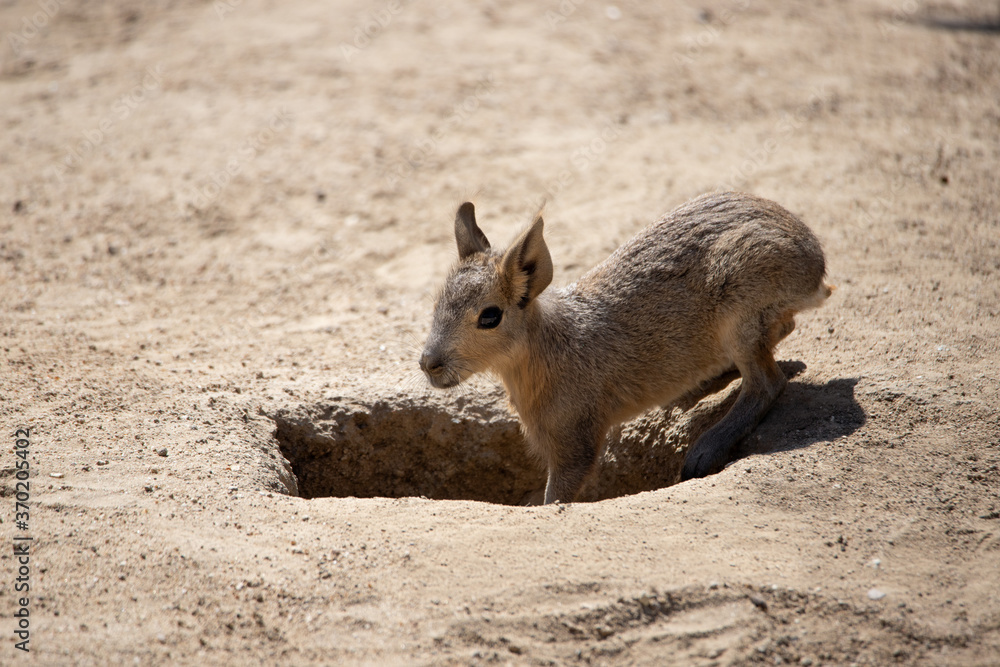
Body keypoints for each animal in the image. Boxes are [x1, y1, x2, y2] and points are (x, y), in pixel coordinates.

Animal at [420, 191, 832, 504]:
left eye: (490, 316)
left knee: (768, 382)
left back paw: (703, 451)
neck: (548, 352)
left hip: (739, 312)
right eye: (437, 301)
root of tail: (815, 266)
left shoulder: (575, 445)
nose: (428, 363)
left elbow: (555, 499)